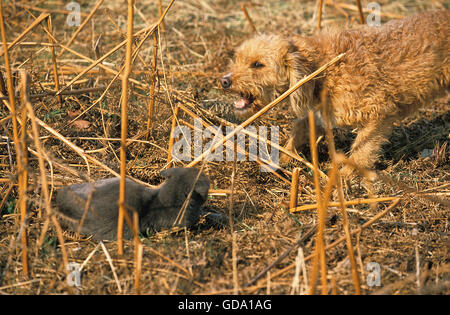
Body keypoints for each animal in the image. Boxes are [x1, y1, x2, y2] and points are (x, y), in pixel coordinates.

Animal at [220, 10, 448, 178]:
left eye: (258, 64)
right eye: (237, 59)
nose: (224, 81)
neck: (322, 67)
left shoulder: (378, 113)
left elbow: (361, 151)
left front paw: (344, 177)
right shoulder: (321, 114)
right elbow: (298, 131)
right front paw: (283, 158)